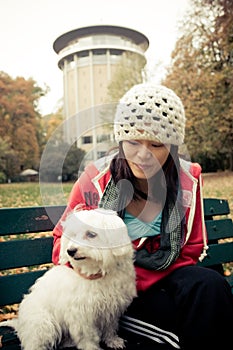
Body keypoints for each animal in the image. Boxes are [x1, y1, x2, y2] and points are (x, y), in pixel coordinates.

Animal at [1, 209, 137, 348]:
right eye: (73, 235)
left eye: (91, 234)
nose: (70, 251)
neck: (96, 272)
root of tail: (21, 324)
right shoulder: (82, 316)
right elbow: (88, 337)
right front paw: (91, 347)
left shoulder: (111, 309)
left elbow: (110, 326)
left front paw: (113, 340)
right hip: (43, 324)